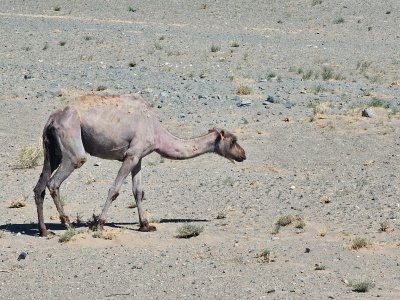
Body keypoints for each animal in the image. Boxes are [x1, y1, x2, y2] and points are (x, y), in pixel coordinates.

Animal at [33, 94, 247, 237]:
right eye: (234, 140)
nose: (243, 155)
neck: (157, 132)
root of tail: (52, 119)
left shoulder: (139, 158)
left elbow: (138, 192)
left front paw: (145, 225)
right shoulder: (131, 155)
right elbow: (114, 189)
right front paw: (99, 224)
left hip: (52, 151)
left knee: (39, 187)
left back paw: (44, 231)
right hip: (72, 144)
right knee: (55, 182)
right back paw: (67, 224)